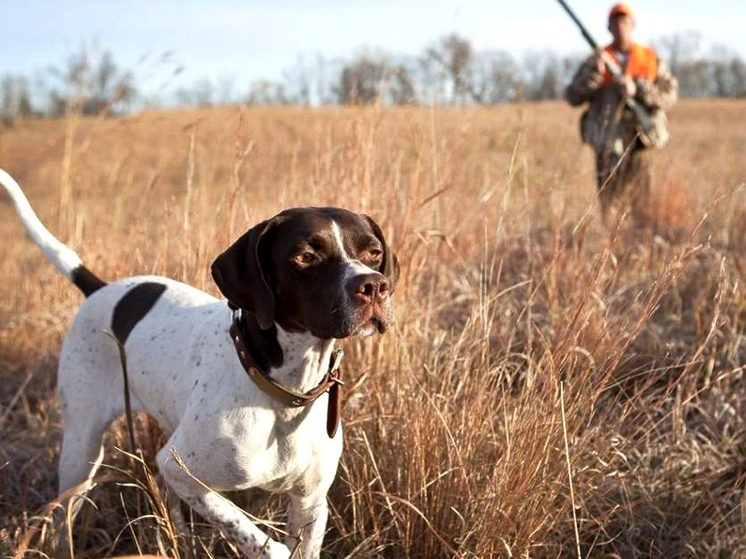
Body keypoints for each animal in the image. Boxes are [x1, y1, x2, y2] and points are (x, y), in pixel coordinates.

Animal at [0, 168, 396, 556]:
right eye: (305, 256)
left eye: (373, 252)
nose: (375, 286)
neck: (283, 390)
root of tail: (100, 289)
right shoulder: (179, 467)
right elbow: (253, 535)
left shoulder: (310, 502)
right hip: (82, 447)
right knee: (62, 515)